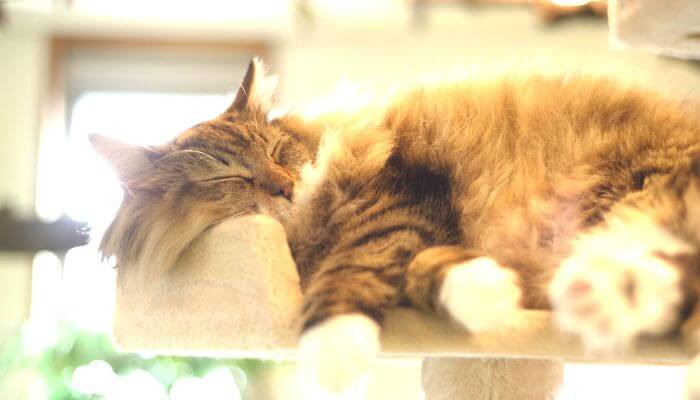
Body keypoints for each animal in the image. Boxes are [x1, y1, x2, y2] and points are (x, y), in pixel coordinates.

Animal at [90, 59, 700, 396]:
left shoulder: (403, 198)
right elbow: (420, 269)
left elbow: (360, 259)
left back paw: (604, 294)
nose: (284, 186)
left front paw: (333, 351)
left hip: (633, 189)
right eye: (232, 177)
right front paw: (485, 293)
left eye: (276, 152)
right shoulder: (422, 222)